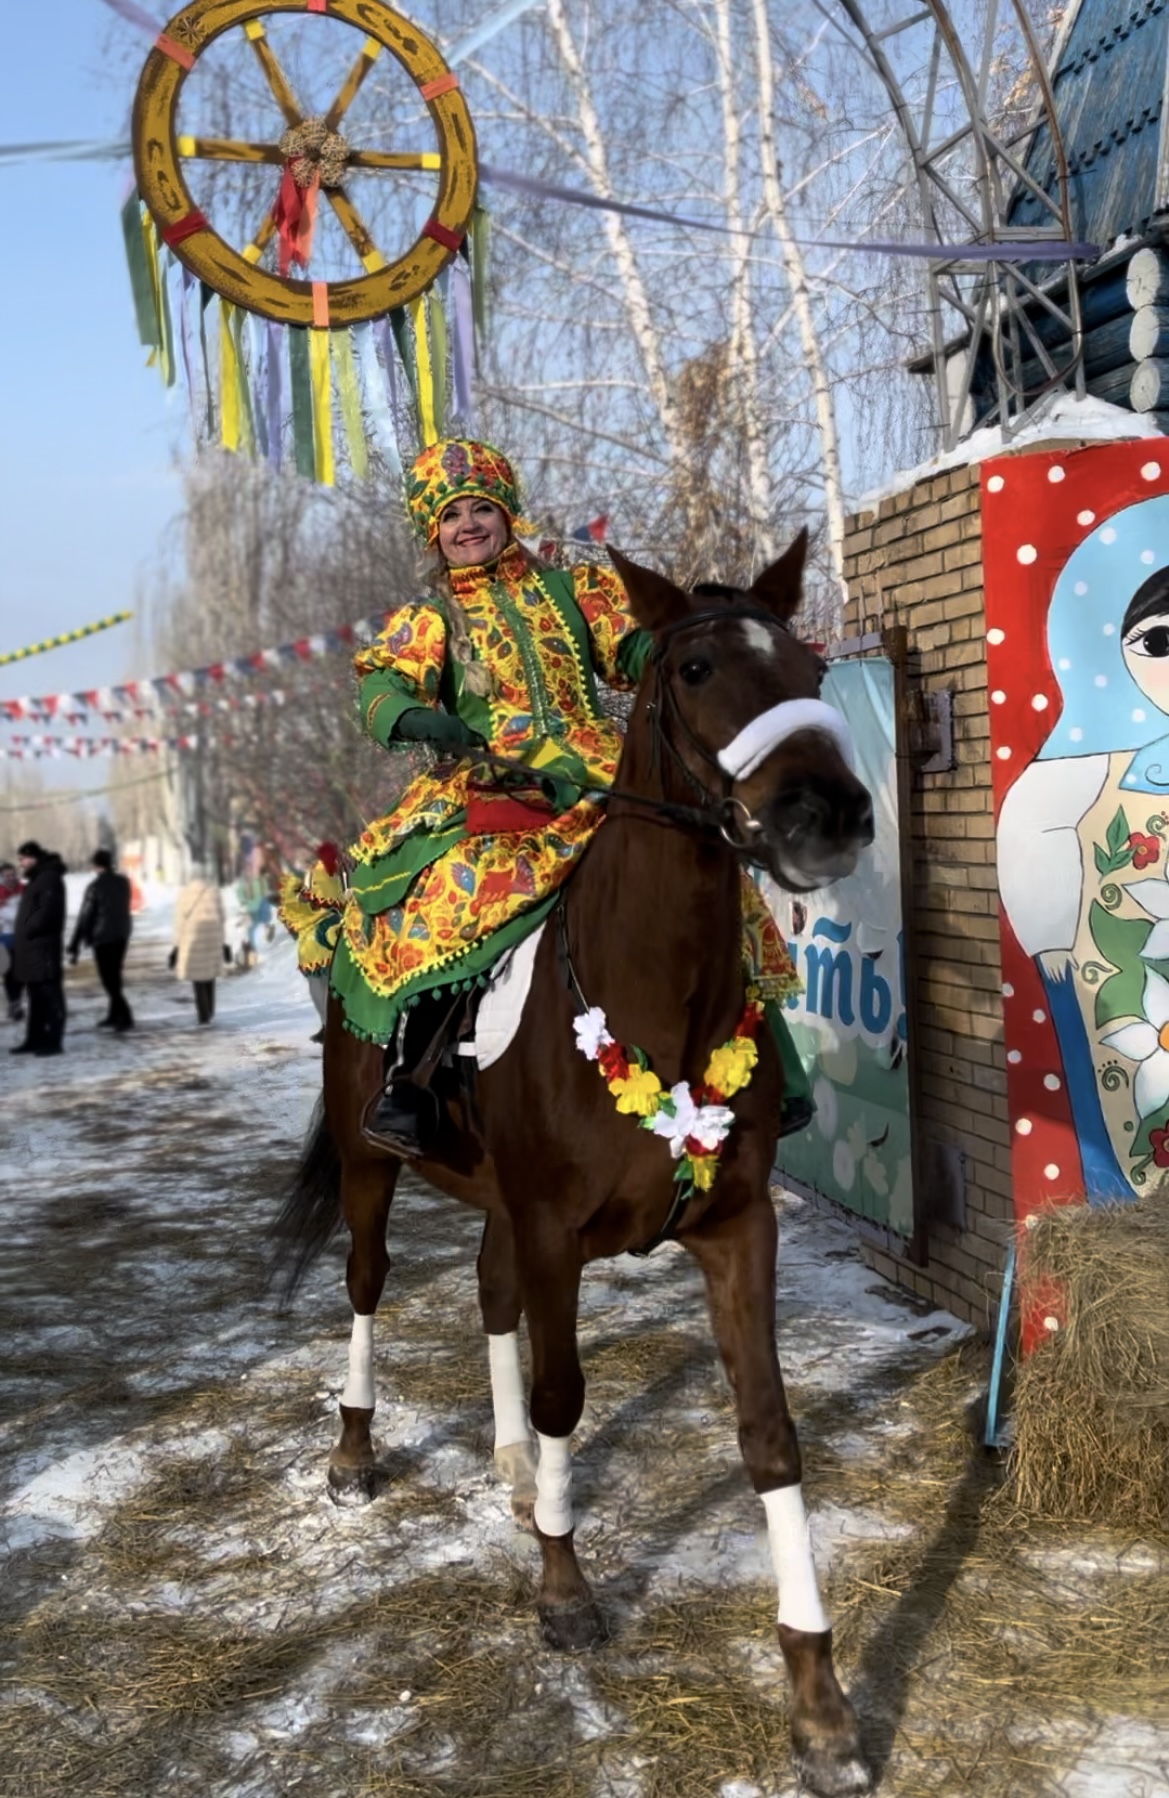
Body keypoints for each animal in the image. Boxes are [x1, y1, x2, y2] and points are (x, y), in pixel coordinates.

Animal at [274, 533, 876, 1798]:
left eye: (809, 665)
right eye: (694, 667)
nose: (827, 814)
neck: (656, 998)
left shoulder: (736, 1228)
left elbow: (767, 1431)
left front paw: (818, 1701)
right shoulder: (556, 1228)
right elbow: (564, 1393)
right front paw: (561, 1588)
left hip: (500, 1203)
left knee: (488, 1291)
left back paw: (507, 1465)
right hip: (367, 1161)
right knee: (367, 1283)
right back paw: (354, 1452)